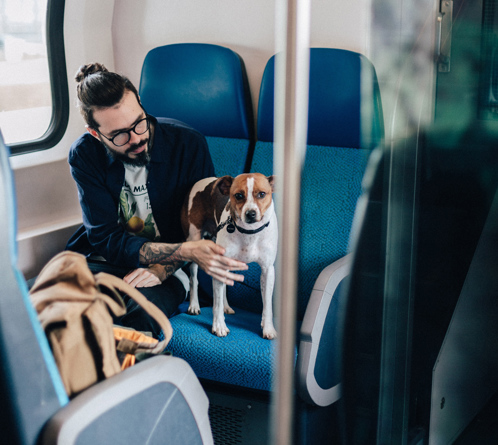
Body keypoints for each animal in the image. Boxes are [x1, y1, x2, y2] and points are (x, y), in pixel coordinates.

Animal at [181, 172, 278, 338]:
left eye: (261, 194)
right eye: (238, 195)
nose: (251, 214)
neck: (249, 232)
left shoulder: (267, 270)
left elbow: (267, 305)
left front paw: (268, 328)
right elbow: (216, 303)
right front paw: (219, 326)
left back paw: (226, 306)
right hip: (194, 241)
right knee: (194, 278)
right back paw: (194, 304)